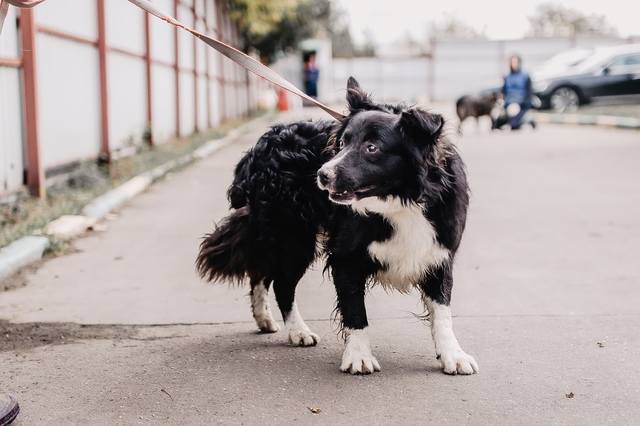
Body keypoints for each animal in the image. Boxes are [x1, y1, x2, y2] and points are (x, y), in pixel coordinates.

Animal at [198, 77, 478, 376]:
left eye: (372, 148)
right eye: (342, 143)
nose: (322, 174)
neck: (401, 202)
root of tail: (261, 146)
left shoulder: (437, 253)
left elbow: (442, 311)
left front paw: (452, 354)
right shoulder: (346, 256)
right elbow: (355, 309)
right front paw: (359, 356)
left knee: (261, 272)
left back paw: (264, 318)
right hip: (293, 236)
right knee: (281, 283)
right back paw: (298, 331)